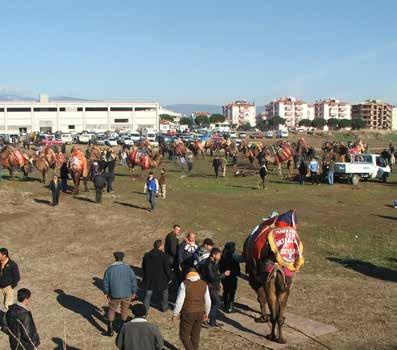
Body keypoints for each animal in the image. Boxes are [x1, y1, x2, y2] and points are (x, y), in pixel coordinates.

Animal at [241, 209, 304, 344]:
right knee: (278, 313)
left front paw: (262, 318)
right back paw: (281, 337)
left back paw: (271, 336)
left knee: (273, 312)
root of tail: (277, 263)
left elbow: (261, 298)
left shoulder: (255, 277)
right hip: (284, 282)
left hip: (268, 280)